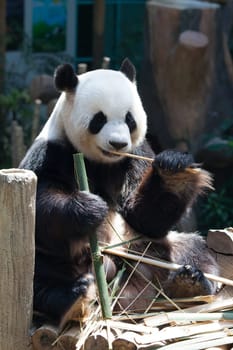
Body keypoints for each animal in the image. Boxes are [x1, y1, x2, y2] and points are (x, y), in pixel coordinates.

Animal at [19, 58, 219, 328]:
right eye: (99, 119)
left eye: (129, 119)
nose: (118, 144)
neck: (102, 161)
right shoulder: (52, 151)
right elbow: (41, 210)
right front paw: (90, 208)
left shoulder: (137, 154)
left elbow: (144, 217)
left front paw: (175, 173)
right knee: (37, 274)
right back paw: (73, 299)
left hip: (143, 248)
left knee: (193, 250)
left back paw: (190, 282)